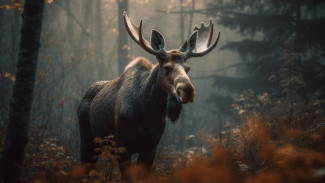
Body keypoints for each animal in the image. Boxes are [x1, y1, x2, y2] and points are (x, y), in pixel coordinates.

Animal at [78, 12, 220, 179]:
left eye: (188, 68)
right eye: (166, 67)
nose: (187, 90)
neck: (148, 112)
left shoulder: (151, 147)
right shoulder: (122, 145)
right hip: (87, 139)